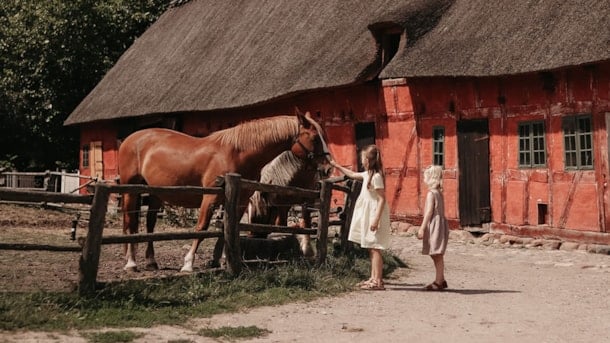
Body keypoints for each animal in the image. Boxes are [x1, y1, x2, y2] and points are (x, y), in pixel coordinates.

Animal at [118, 109, 328, 272]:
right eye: (315, 138)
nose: (327, 167)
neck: (237, 153)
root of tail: (131, 139)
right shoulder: (210, 197)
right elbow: (201, 227)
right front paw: (188, 264)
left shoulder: (240, 200)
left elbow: (229, 228)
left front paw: (227, 260)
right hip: (131, 190)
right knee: (130, 222)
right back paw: (131, 263)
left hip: (156, 193)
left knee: (150, 225)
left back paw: (151, 261)